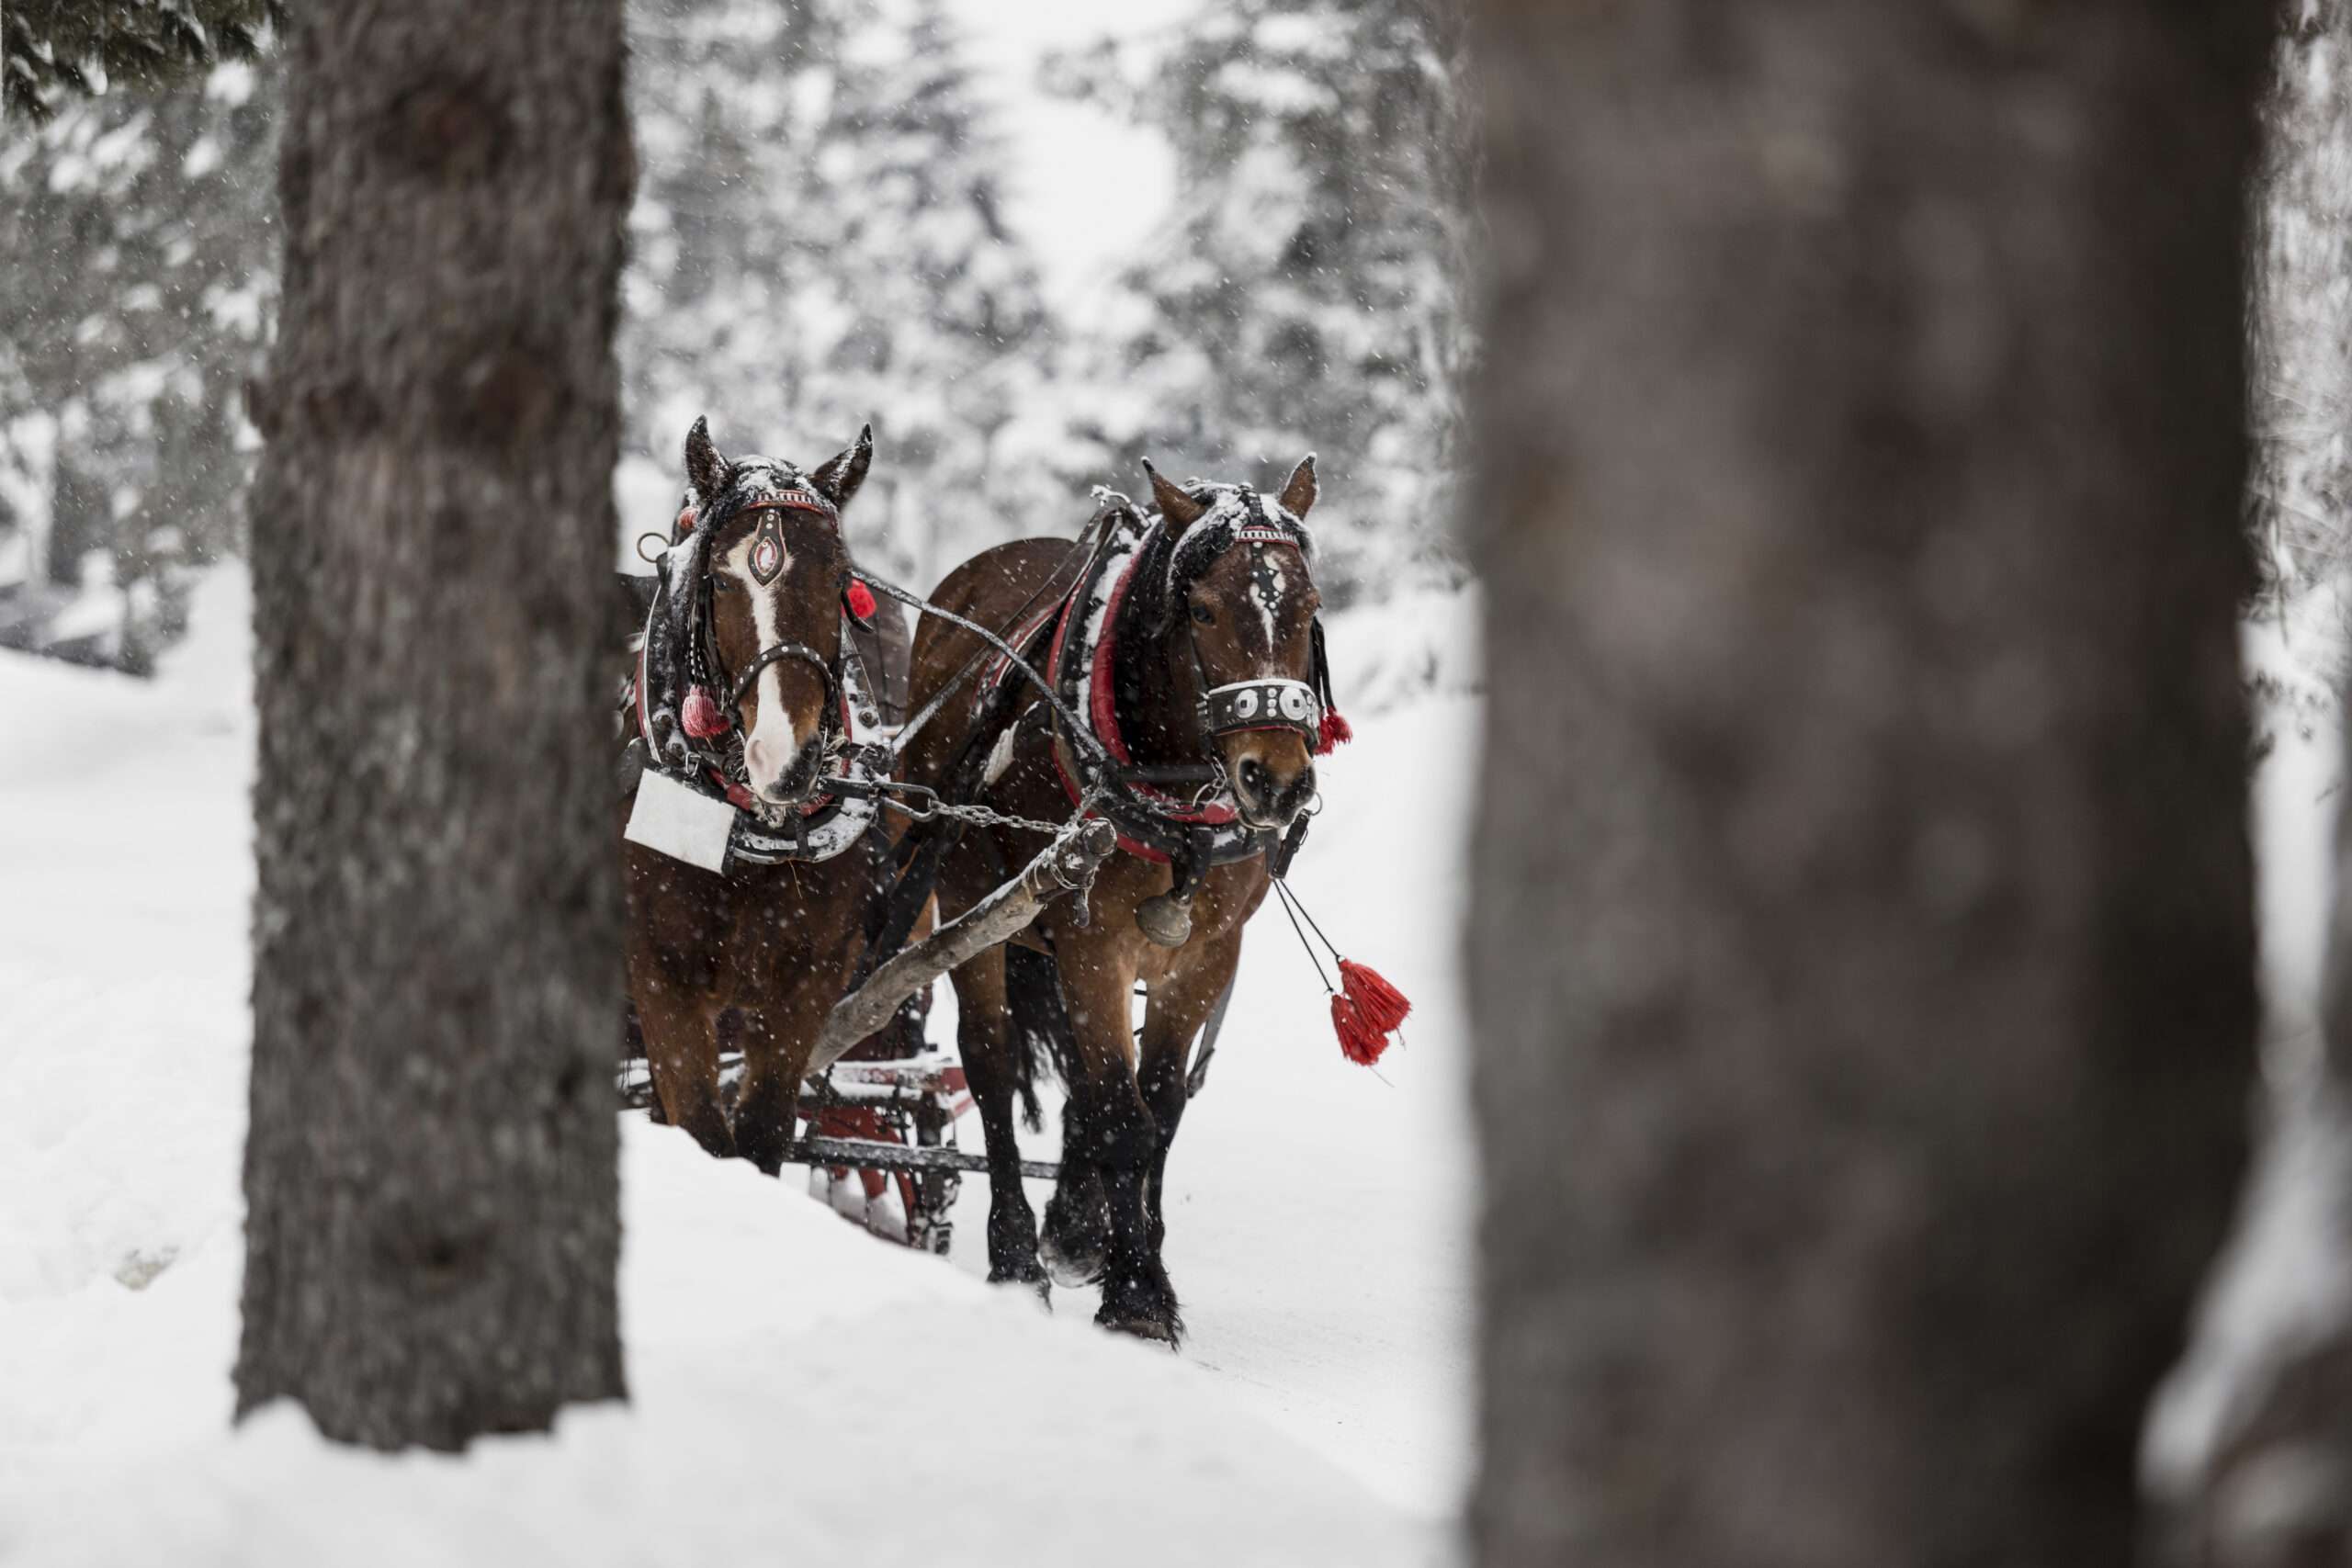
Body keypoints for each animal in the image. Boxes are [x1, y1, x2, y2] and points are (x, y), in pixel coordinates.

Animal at [620, 415, 899, 1176]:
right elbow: (706, 1133)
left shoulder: (808, 982)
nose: (786, 756)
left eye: (841, 578)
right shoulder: (660, 975)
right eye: (720, 579)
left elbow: (761, 1132)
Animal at [899, 456, 1330, 1342]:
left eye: (1307, 606)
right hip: (972, 904)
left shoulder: (1203, 955)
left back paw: (1073, 1224)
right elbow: (1122, 1119)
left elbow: (1154, 1110)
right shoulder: (1092, 944)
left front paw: (1130, 1257)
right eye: (1202, 608)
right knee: (990, 1062)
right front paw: (1135, 1300)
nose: (1276, 780)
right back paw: (1017, 1253)